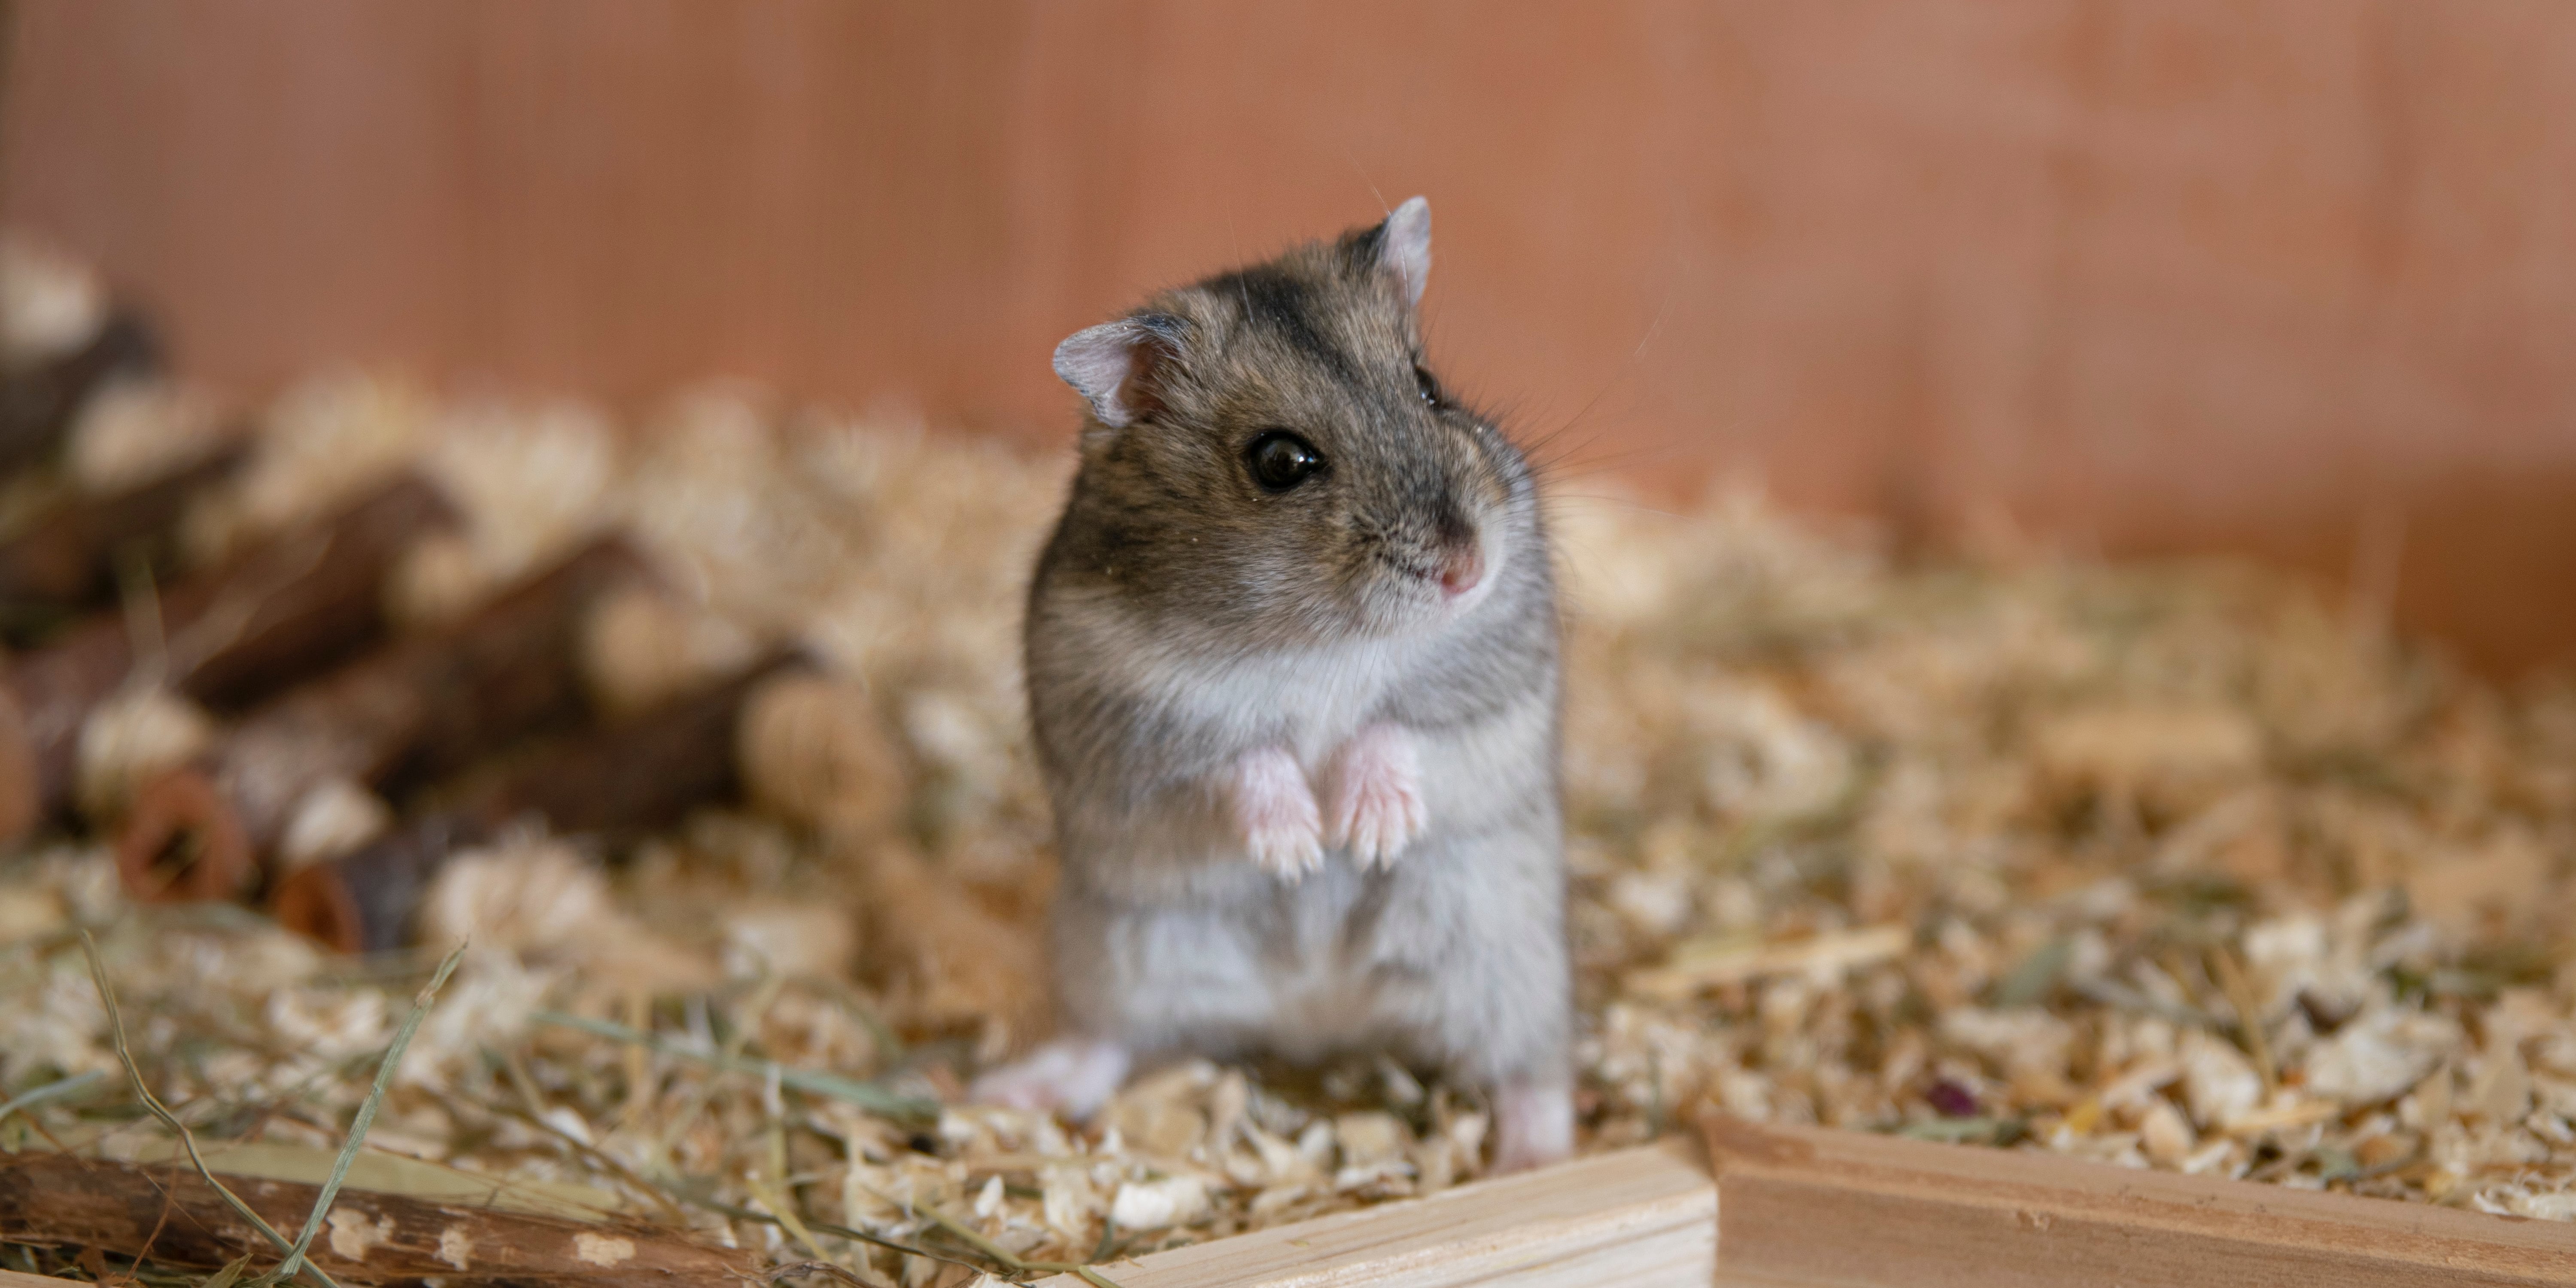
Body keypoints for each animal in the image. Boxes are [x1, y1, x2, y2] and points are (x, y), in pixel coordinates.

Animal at [970, 197, 1573, 1173]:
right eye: (1281, 462)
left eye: (1429, 386)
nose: (1468, 569)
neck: (1322, 637)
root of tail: (1317, 1019)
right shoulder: (1130, 716)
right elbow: (1241, 756)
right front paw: (1298, 850)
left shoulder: (1495, 677)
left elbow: (1398, 727)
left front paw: (1367, 835)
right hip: (1121, 955)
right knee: (1107, 1041)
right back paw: (1006, 1092)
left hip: (1509, 960)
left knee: (1534, 1071)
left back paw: (1534, 1161)